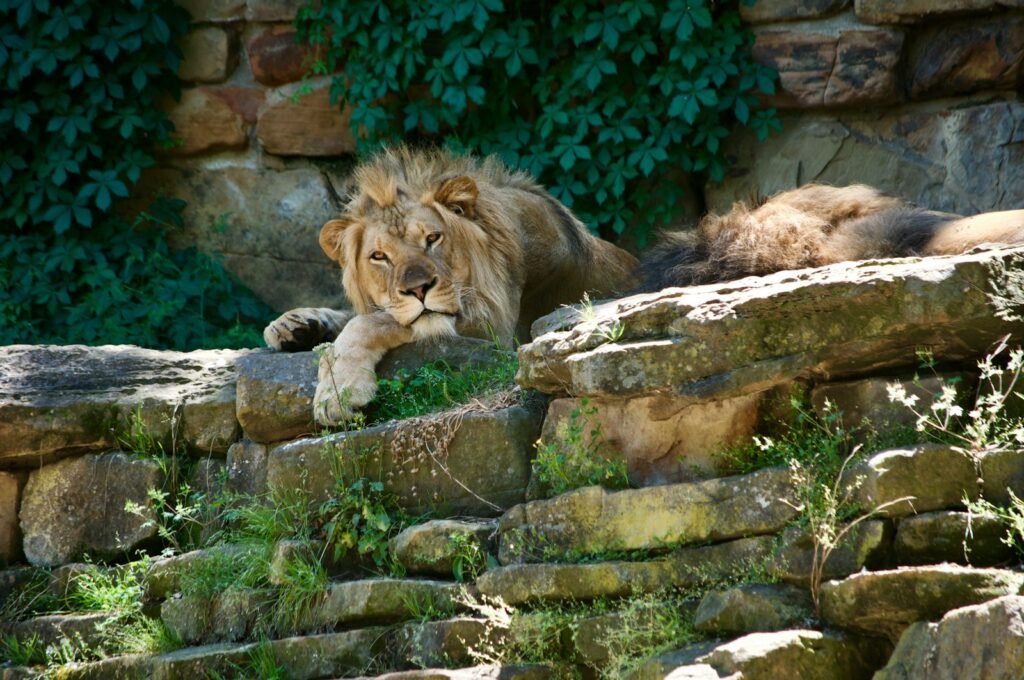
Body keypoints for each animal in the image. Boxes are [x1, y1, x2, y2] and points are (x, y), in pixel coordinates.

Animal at [264, 147, 638, 425]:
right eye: (379, 256)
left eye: (432, 238)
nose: (419, 289)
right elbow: (359, 314)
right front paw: (293, 324)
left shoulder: (498, 330)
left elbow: (368, 322)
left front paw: (337, 395)